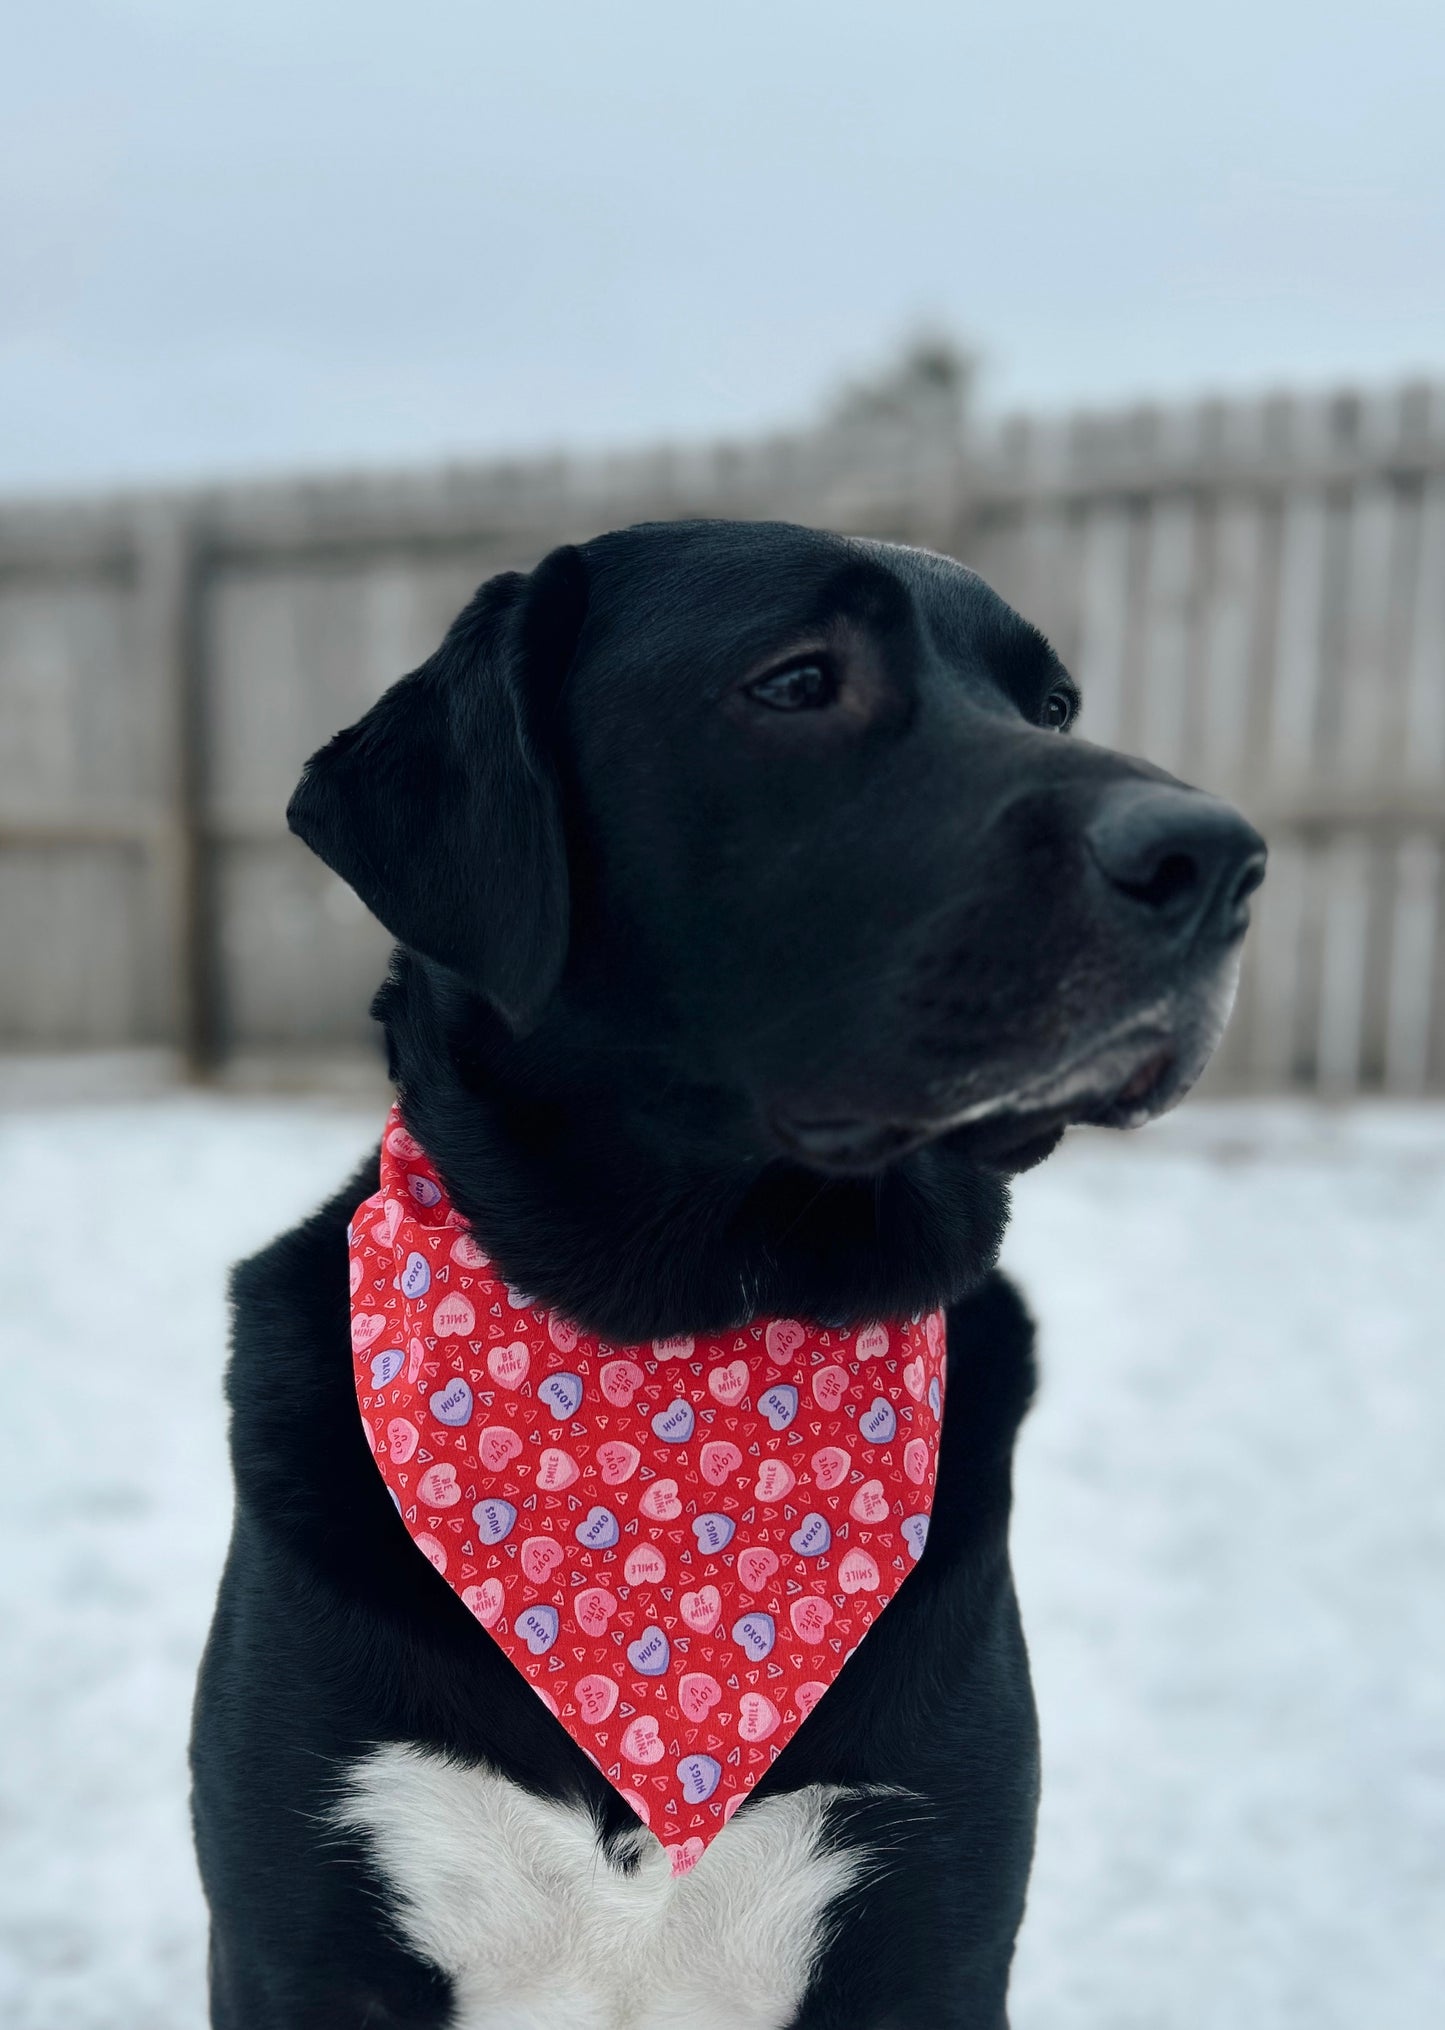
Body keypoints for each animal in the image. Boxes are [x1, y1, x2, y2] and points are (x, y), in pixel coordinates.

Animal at [191, 515, 1266, 2021]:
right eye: (798, 678)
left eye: (1050, 705)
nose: (1216, 858)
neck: (688, 1338)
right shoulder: (298, 1929)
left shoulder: (932, 1915)